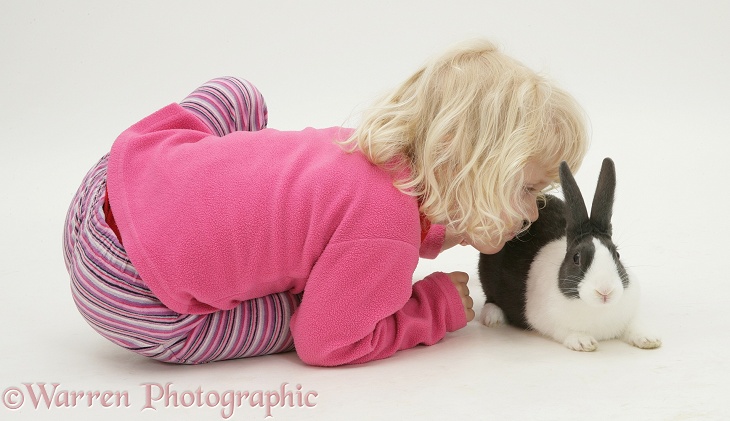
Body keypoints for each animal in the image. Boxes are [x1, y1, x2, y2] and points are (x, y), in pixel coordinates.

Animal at [478, 158, 660, 352]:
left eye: (617, 255)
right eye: (576, 258)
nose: (605, 291)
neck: (597, 308)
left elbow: (634, 325)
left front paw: (649, 339)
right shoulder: (550, 322)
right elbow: (566, 331)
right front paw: (584, 342)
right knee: (490, 298)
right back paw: (492, 318)